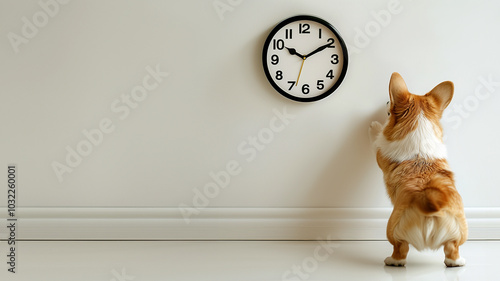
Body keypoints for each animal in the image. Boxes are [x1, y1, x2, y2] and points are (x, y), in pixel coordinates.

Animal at [368, 71, 468, 264]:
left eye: (390, 103)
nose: (385, 102)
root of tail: (431, 203)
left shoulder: (380, 155)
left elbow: (378, 139)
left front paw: (375, 125)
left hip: (392, 229)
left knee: (401, 249)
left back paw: (392, 261)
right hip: (460, 232)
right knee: (452, 249)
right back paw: (456, 262)